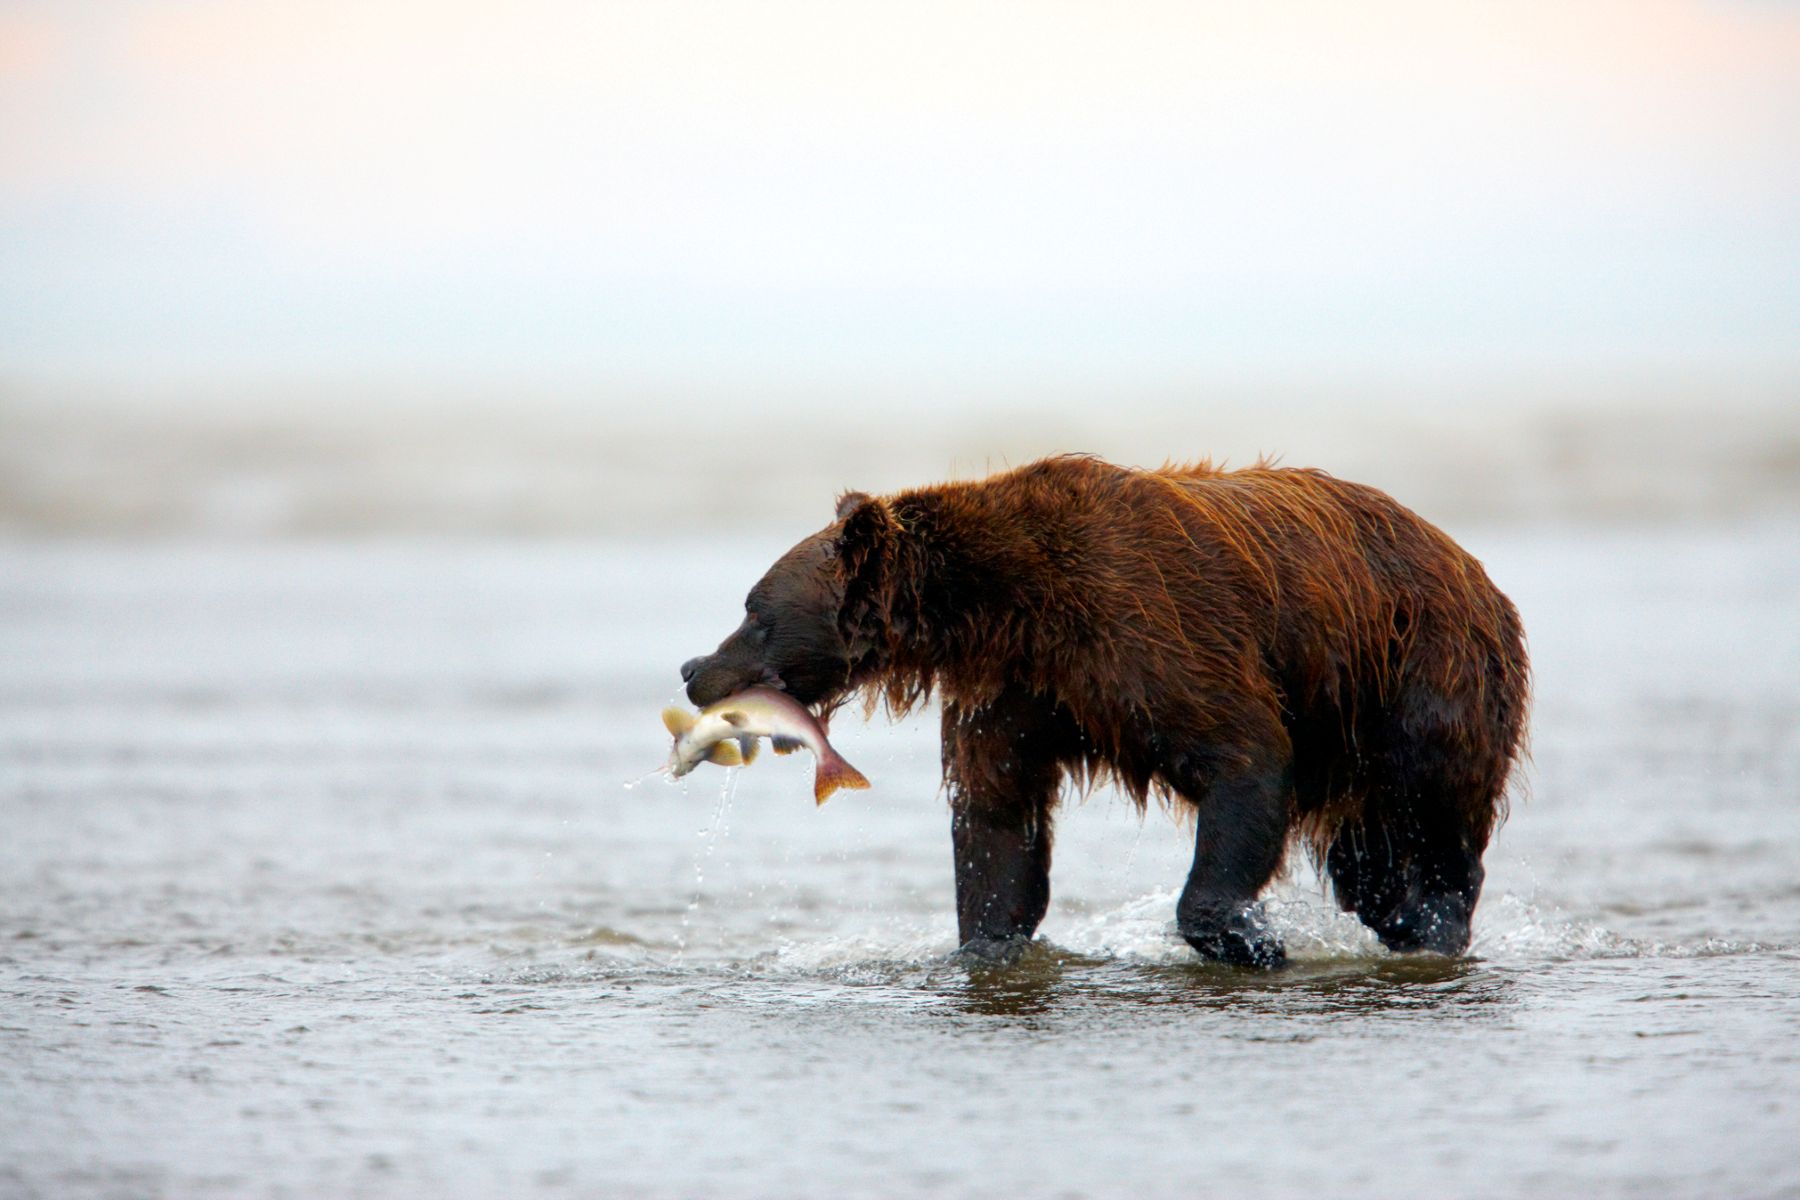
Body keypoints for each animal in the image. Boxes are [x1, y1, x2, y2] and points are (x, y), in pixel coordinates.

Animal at [679, 454, 1529, 967]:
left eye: (755, 610)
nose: (693, 669)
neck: (1010, 609)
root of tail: (1475, 568)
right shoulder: (1019, 692)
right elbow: (997, 821)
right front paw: (987, 944)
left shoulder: (1150, 636)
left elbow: (1244, 757)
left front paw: (1251, 938)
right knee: (1372, 856)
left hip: (1422, 676)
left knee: (1429, 818)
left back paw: (1433, 925)